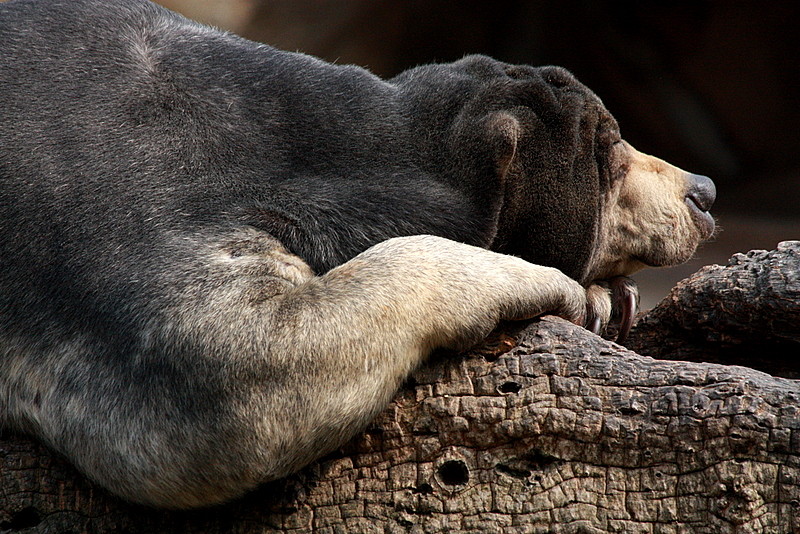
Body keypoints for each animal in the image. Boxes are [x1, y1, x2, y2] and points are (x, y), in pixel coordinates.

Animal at [0, 0, 712, 510]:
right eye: (611, 151)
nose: (702, 192)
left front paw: (608, 297)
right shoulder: (119, 211)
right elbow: (225, 370)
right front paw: (562, 287)